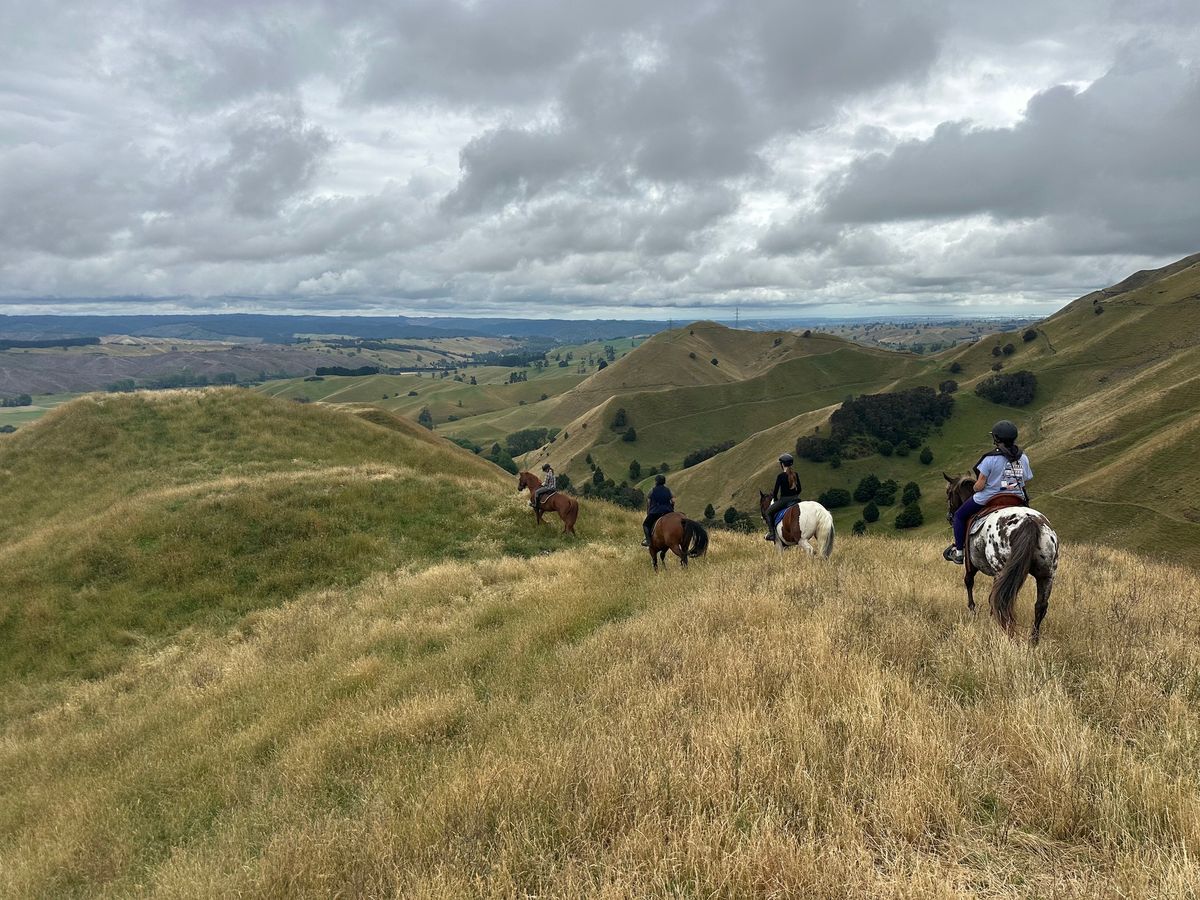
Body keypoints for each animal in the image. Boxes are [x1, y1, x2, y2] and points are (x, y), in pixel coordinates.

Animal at [945, 475, 1060, 643]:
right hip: (1046, 574)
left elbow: (969, 582)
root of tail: (1030, 521)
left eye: (948, 493)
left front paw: (973, 611)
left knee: (1001, 600)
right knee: (1040, 605)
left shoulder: (970, 564)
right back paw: (1033, 641)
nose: (949, 516)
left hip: (1002, 571)